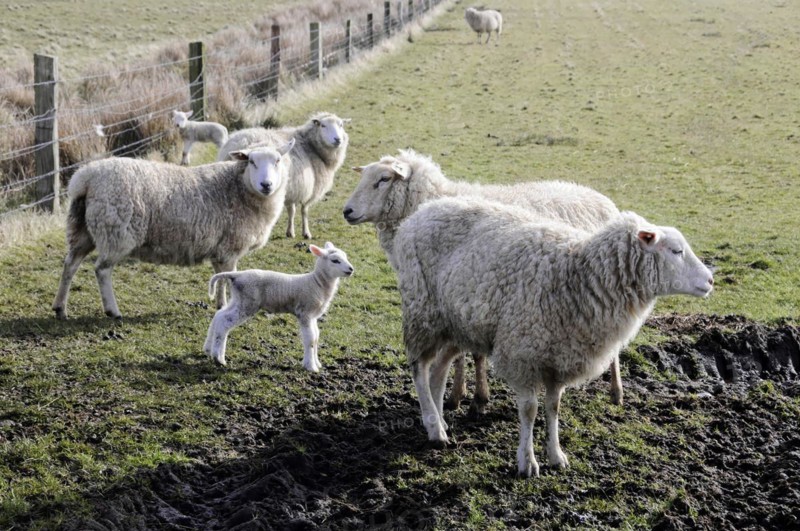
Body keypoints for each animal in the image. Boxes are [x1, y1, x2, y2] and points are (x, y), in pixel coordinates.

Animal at [52, 139, 295, 320]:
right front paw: (225, 306)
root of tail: (85, 178)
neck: (238, 188)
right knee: (102, 270)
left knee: (70, 264)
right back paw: (112, 310)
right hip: (117, 232)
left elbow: (219, 278)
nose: (266, 185)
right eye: (252, 162)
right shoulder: (230, 248)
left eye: (277, 160)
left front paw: (220, 303)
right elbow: (227, 279)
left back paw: (60, 308)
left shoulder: (220, 250)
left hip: (82, 229)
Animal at [203, 242, 354, 370]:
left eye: (345, 257)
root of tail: (236, 275)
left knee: (219, 315)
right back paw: (218, 358)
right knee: (224, 322)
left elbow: (316, 336)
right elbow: (310, 339)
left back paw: (208, 349)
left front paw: (317, 363)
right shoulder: (304, 313)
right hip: (247, 303)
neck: (317, 283)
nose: (351, 269)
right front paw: (311, 367)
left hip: (238, 300)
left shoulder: (313, 316)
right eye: (335, 260)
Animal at [217, 112, 351, 239]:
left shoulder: (293, 189)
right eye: (323, 125)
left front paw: (290, 231)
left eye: (341, 125)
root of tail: (237, 143)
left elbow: (292, 210)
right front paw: (305, 233)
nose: (338, 139)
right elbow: (303, 211)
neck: (310, 146)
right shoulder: (308, 189)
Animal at [342, 149, 622, 414]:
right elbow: (460, 353)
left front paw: (478, 398)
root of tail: (602, 199)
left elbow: (475, 353)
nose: (347, 211)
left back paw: (616, 391)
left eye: (384, 179)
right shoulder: (455, 297)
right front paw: (458, 394)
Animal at [393, 197, 714, 476]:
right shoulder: (523, 354)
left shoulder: (560, 358)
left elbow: (553, 408)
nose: (711, 280)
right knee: (419, 368)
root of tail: (423, 210)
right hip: (422, 311)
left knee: (438, 370)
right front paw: (527, 462)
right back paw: (434, 427)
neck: (577, 275)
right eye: (676, 251)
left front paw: (556, 456)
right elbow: (529, 410)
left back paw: (439, 423)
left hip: (455, 324)